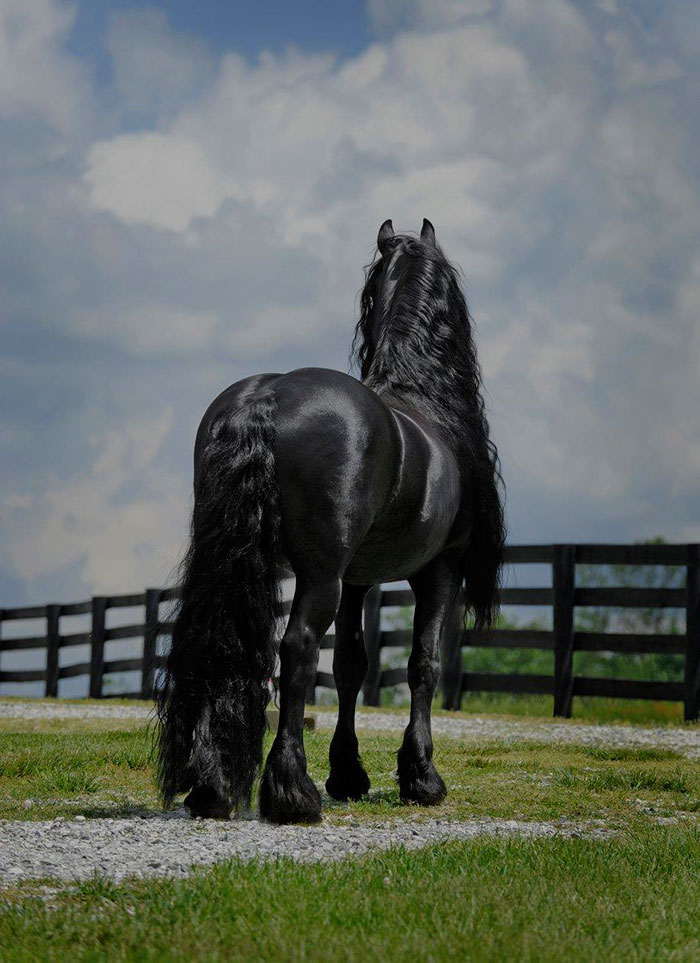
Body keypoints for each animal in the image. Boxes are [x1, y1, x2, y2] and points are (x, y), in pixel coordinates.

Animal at [156, 218, 505, 825]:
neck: (424, 401)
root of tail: (265, 397)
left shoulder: (358, 579)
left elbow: (350, 665)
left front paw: (349, 773)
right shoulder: (439, 571)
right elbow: (423, 664)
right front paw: (421, 777)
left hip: (237, 563)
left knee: (218, 644)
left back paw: (211, 787)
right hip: (320, 576)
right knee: (296, 648)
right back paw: (292, 792)